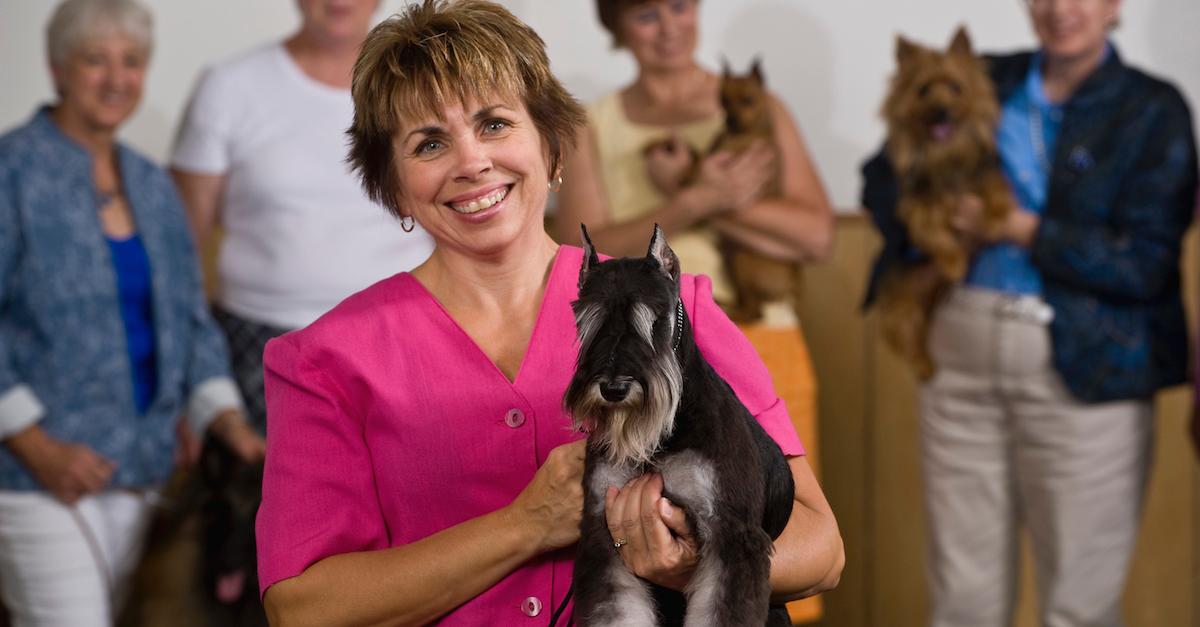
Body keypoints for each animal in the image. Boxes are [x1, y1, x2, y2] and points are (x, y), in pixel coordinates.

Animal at [643, 58, 801, 324]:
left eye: (748, 99)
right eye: (723, 100)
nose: (730, 120)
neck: (741, 133)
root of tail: (794, 283)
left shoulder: (726, 166)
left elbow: (700, 165)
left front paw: (687, 174)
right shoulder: (711, 151)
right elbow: (693, 151)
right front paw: (654, 144)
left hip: (742, 260)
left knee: (754, 313)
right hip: (732, 262)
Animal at [878, 26, 1008, 374]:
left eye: (955, 87)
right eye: (923, 90)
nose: (941, 111)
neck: (945, 156)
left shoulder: (983, 176)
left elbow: (998, 189)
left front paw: (996, 219)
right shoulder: (917, 204)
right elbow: (931, 229)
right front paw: (952, 261)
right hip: (903, 305)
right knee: (904, 335)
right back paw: (924, 365)